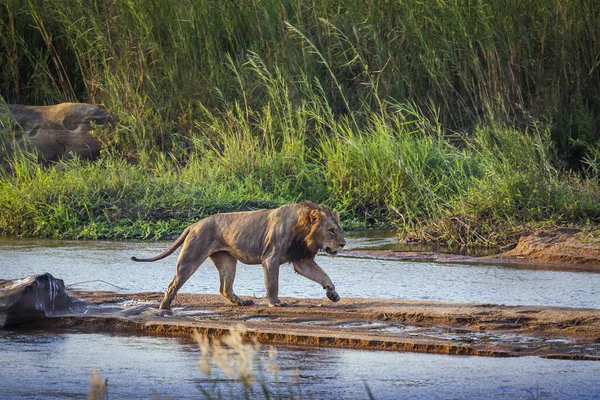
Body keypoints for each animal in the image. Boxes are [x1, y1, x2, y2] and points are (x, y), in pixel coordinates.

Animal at [131, 203, 346, 310]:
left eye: (339, 229)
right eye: (331, 230)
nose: (344, 244)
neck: (304, 231)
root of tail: (193, 224)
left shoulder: (301, 259)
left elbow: (323, 275)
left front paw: (333, 294)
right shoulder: (271, 258)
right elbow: (273, 284)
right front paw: (275, 303)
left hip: (227, 260)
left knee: (224, 288)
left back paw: (242, 302)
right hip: (191, 257)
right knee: (173, 284)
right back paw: (164, 306)